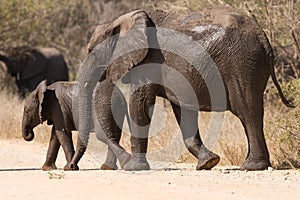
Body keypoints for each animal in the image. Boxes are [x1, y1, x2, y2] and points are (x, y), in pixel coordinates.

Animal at [69, 8, 294, 171]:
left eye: (91, 51)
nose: (71, 167)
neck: (123, 20)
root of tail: (265, 40)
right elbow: (183, 110)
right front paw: (208, 163)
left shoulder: (149, 61)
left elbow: (140, 105)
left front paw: (134, 167)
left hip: (243, 65)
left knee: (247, 112)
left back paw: (251, 167)